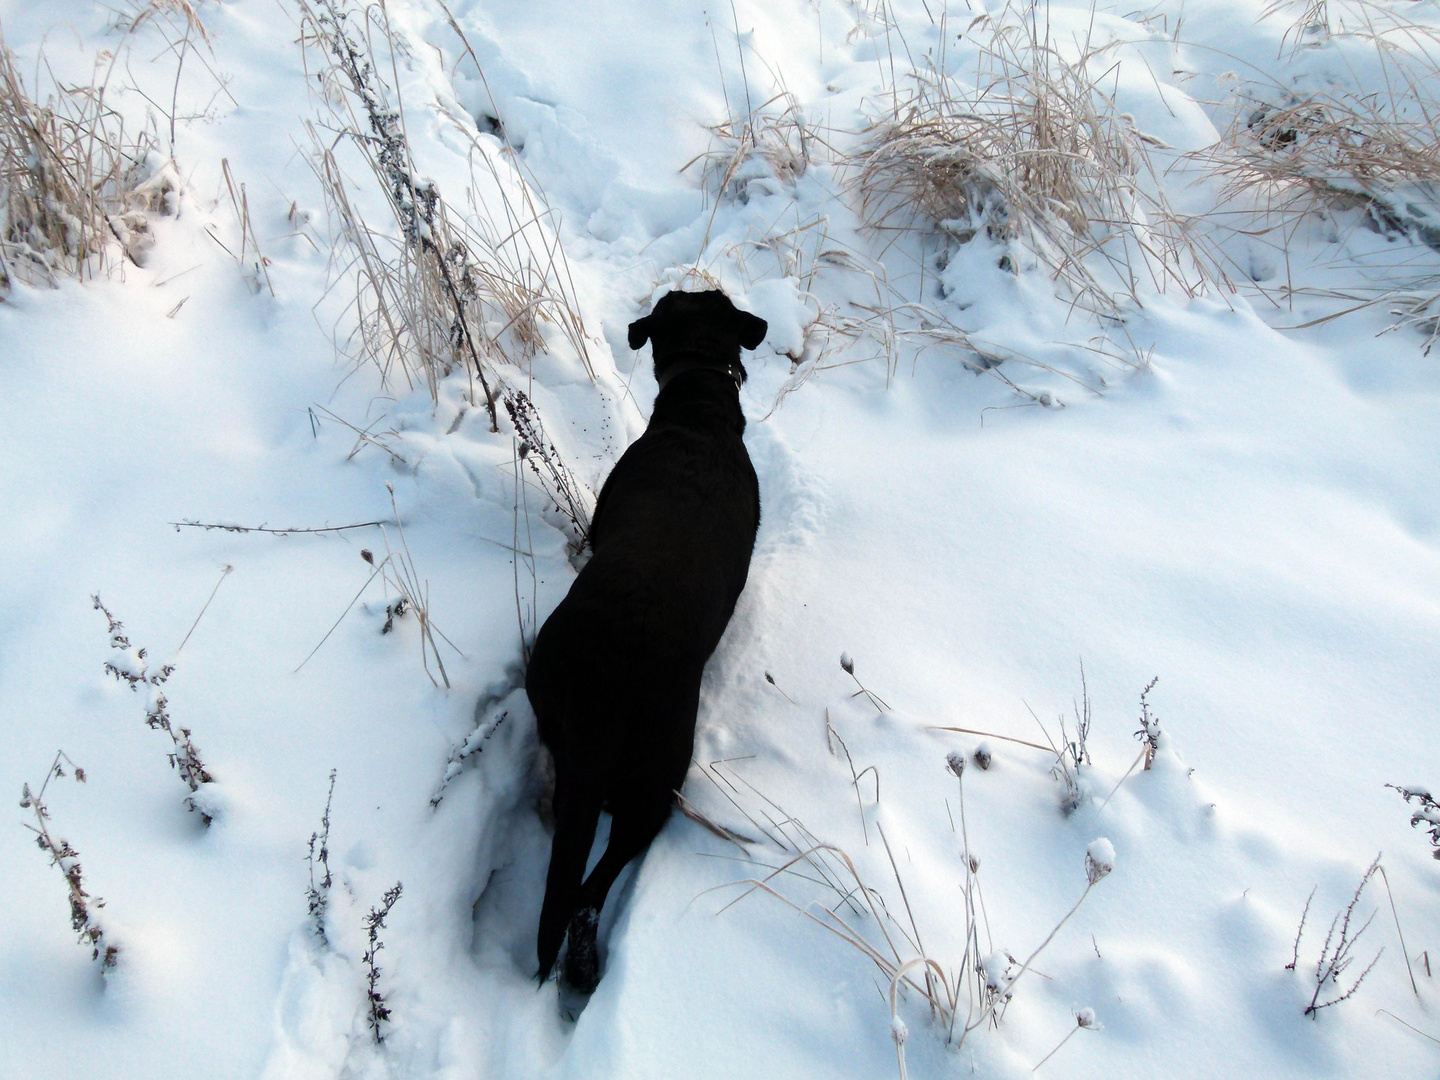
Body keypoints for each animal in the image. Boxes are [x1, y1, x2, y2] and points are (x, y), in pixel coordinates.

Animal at [527, 292, 766, 996]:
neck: (698, 409)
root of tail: (604, 682)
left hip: (610, 753)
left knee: (582, 875)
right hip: (658, 778)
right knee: (591, 885)